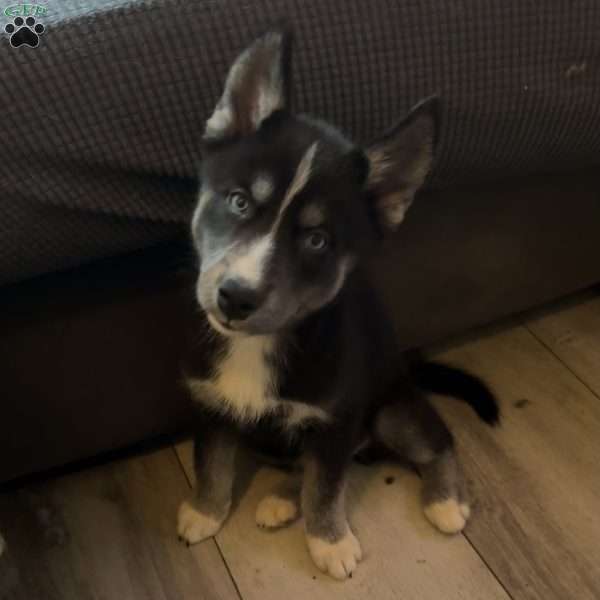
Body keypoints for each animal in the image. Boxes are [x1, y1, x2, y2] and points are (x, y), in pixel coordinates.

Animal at [180, 30, 500, 580]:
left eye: (317, 240)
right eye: (239, 201)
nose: (236, 297)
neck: (263, 343)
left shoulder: (335, 416)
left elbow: (326, 486)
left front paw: (329, 542)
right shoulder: (211, 404)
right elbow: (212, 463)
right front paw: (205, 512)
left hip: (391, 408)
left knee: (436, 442)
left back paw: (446, 501)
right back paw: (282, 500)